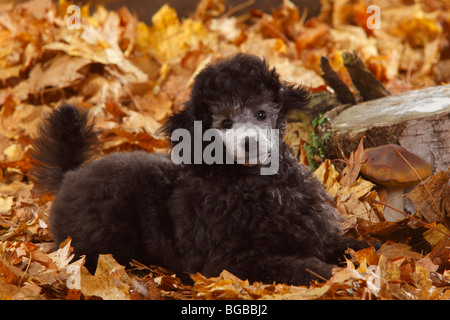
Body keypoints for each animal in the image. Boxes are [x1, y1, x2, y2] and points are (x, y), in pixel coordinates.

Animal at [30, 53, 370, 284]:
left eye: (261, 114)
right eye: (225, 123)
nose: (250, 142)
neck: (256, 183)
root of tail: (70, 175)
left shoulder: (318, 235)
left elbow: (357, 244)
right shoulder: (231, 261)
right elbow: (299, 266)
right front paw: (336, 275)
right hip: (104, 237)